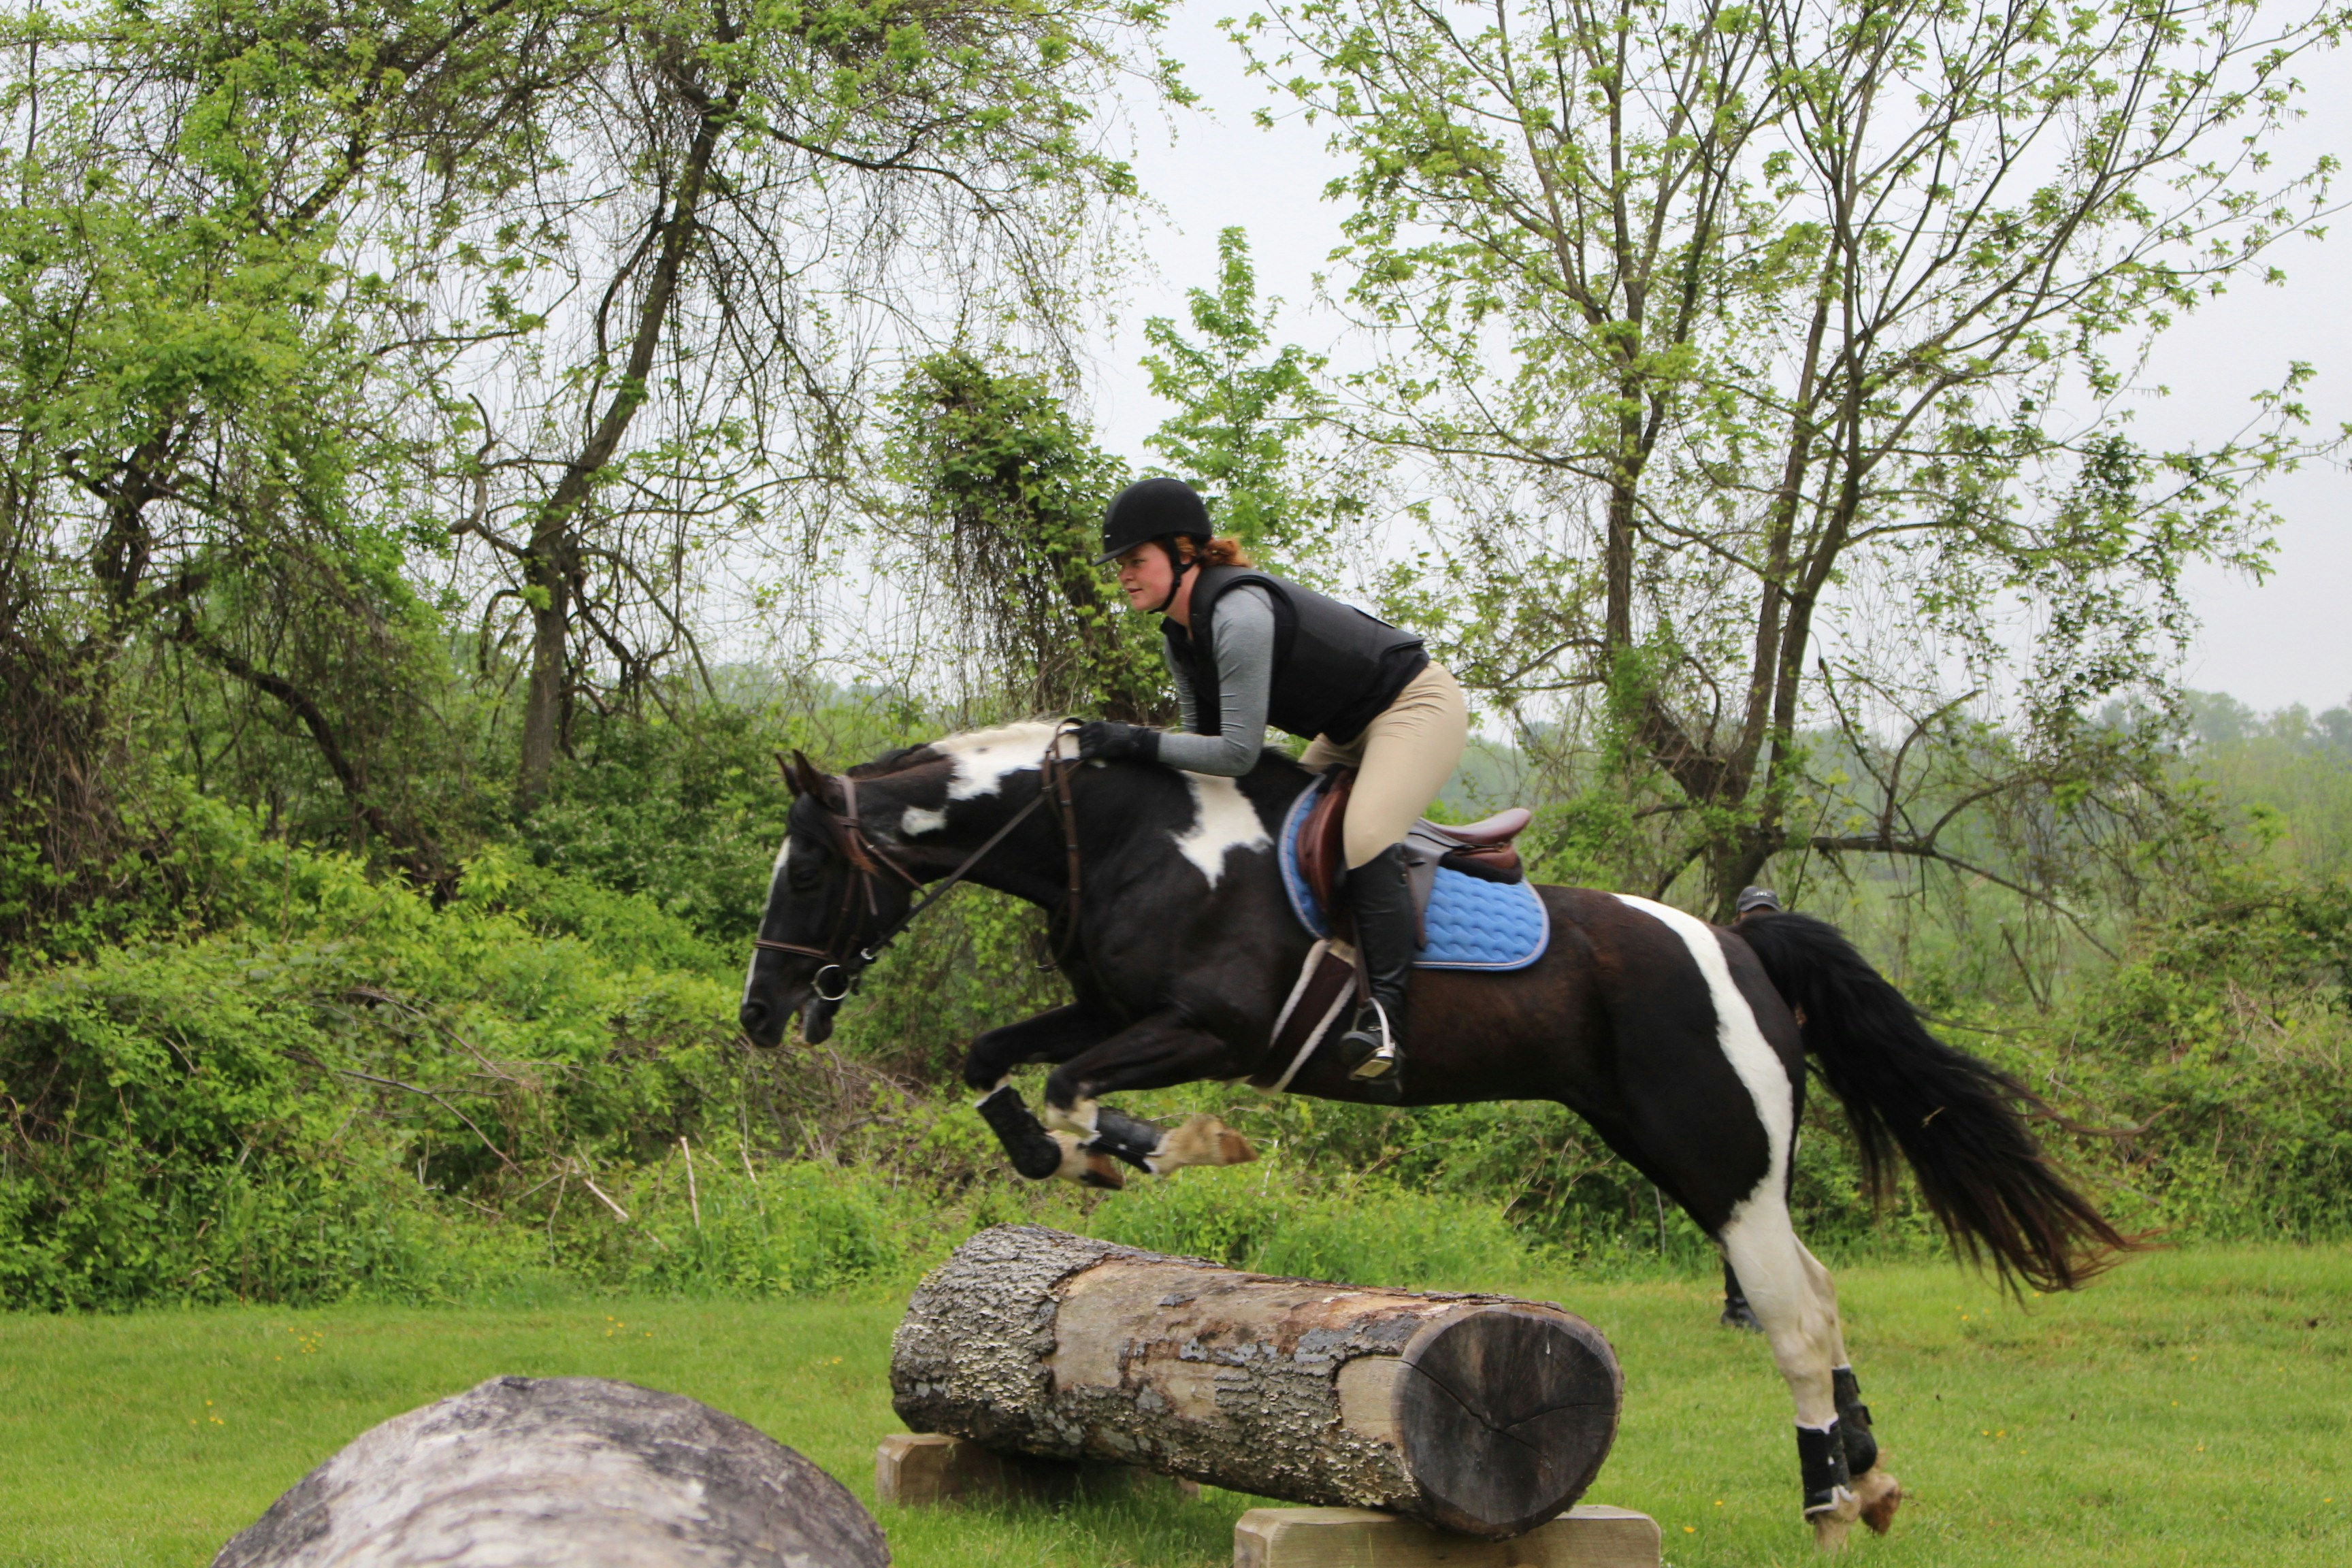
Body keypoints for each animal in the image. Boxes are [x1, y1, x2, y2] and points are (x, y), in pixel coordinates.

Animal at [738, 719, 2136, 1542]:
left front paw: (1160, 1149)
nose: (759, 1014)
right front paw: (1059, 1153)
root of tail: (1740, 940)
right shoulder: (1116, 1005)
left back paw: (1825, 1502)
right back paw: (1867, 1472)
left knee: (1792, 1311)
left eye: (808, 870)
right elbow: (998, 1061)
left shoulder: (1212, 1029)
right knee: (1820, 1290)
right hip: (1697, 1156)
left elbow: (1083, 1086)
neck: (1138, 835)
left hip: (1718, 1155)